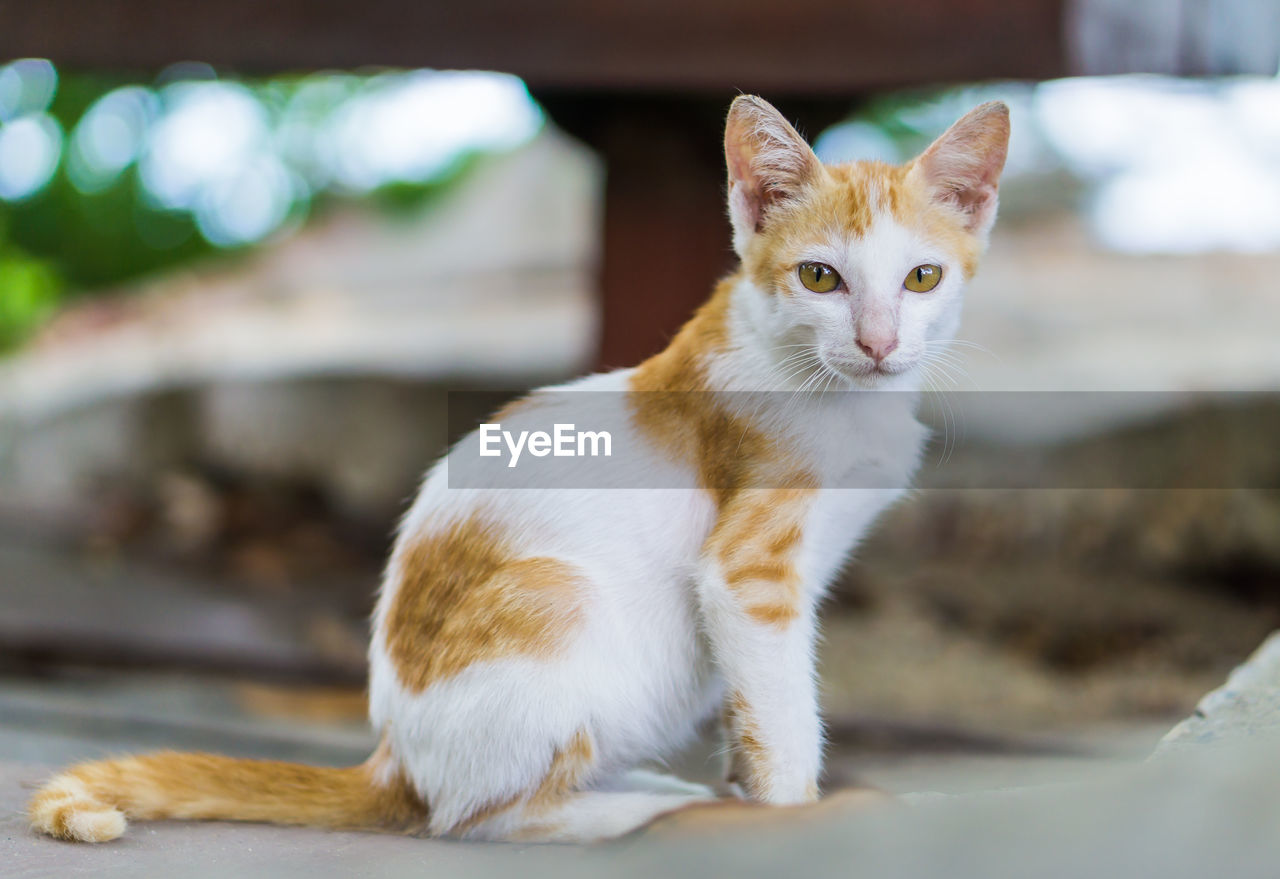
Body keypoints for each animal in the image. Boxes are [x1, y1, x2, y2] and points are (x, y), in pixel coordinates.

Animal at [24, 94, 1003, 844]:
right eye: (820, 277)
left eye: (921, 278)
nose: (878, 344)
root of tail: (393, 761)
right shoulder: (749, 571)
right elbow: (783, 711)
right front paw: (794, 815)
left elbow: (755, 713)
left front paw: (750, 790)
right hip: (556, 602)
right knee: (474, 817)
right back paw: (636, 815)